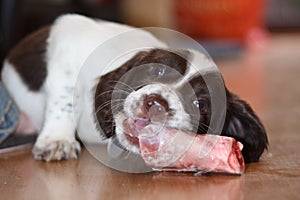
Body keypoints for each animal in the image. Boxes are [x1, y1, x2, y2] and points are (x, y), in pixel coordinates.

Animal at [0, 14, 268, 163]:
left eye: (200, 104)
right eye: (157, 71)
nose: (156, 103)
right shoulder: (67, 47)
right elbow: (63, 100)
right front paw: (56, 141)